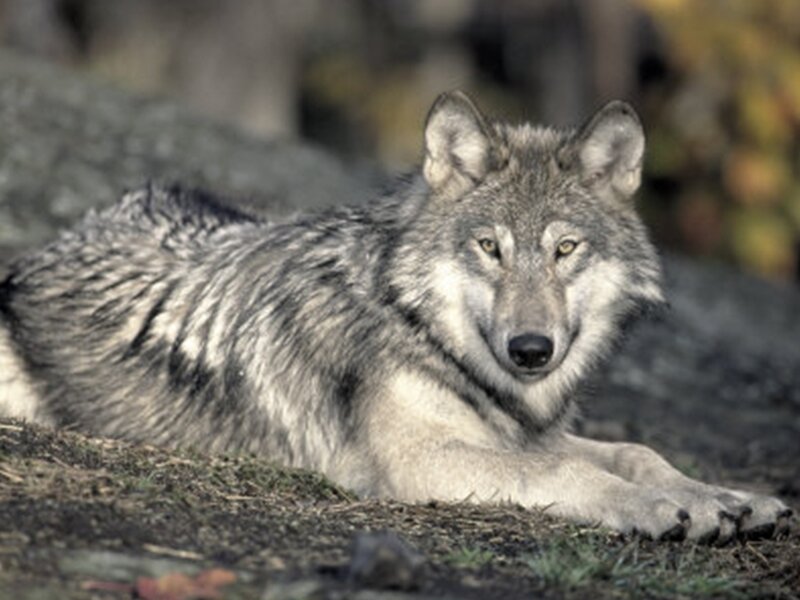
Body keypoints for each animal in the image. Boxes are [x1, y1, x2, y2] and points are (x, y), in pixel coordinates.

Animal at [0, 91, 791, 542]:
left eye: (565, 249)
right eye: (490, 248)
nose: (531, 350)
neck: (419, 326)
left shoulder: (521, 433)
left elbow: (637, 452)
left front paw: (732, 498)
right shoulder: (423, 461)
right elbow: (570, 474)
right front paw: (666, 510)